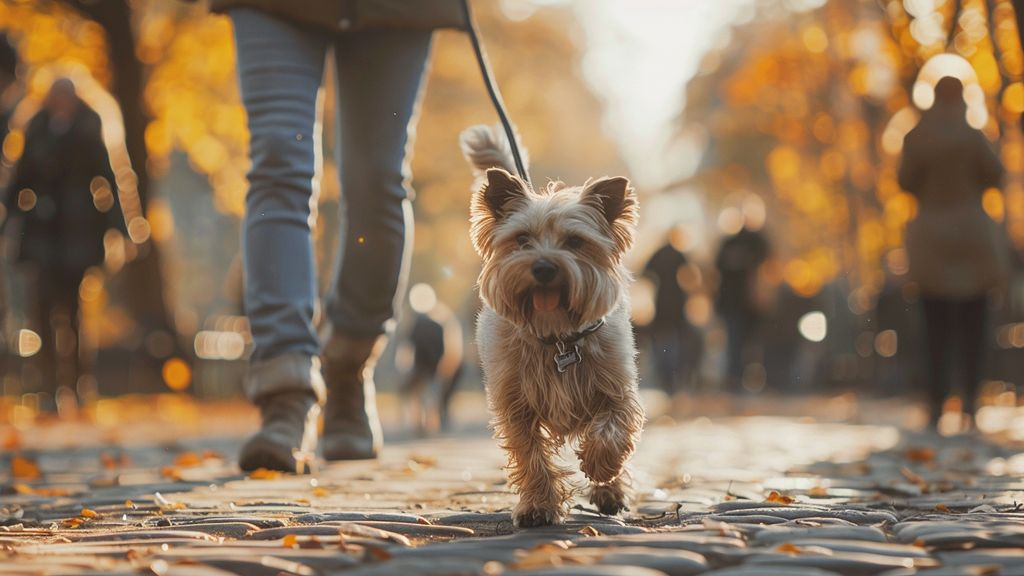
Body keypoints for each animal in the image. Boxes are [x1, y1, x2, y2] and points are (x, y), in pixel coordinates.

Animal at [460, 124, 643, 524]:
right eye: (521, 239)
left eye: (575, 241)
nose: (543, 267)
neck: (558, 336)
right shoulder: (516, 405)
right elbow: (531, 457)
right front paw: (538, 506)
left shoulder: (616, 387)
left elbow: (614, 428)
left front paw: (601, 468)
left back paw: (610, 492)